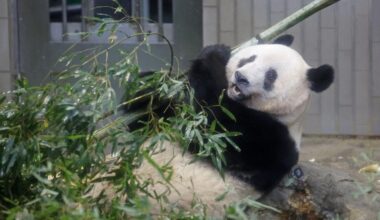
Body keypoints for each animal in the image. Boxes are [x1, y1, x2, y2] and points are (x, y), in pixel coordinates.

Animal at [132, 36, 334, 217]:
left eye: (271, 75)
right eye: (250, 58)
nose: (241, 77)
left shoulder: (267, 140)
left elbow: (212, 127)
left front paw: (215, 54)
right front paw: (148, 86)